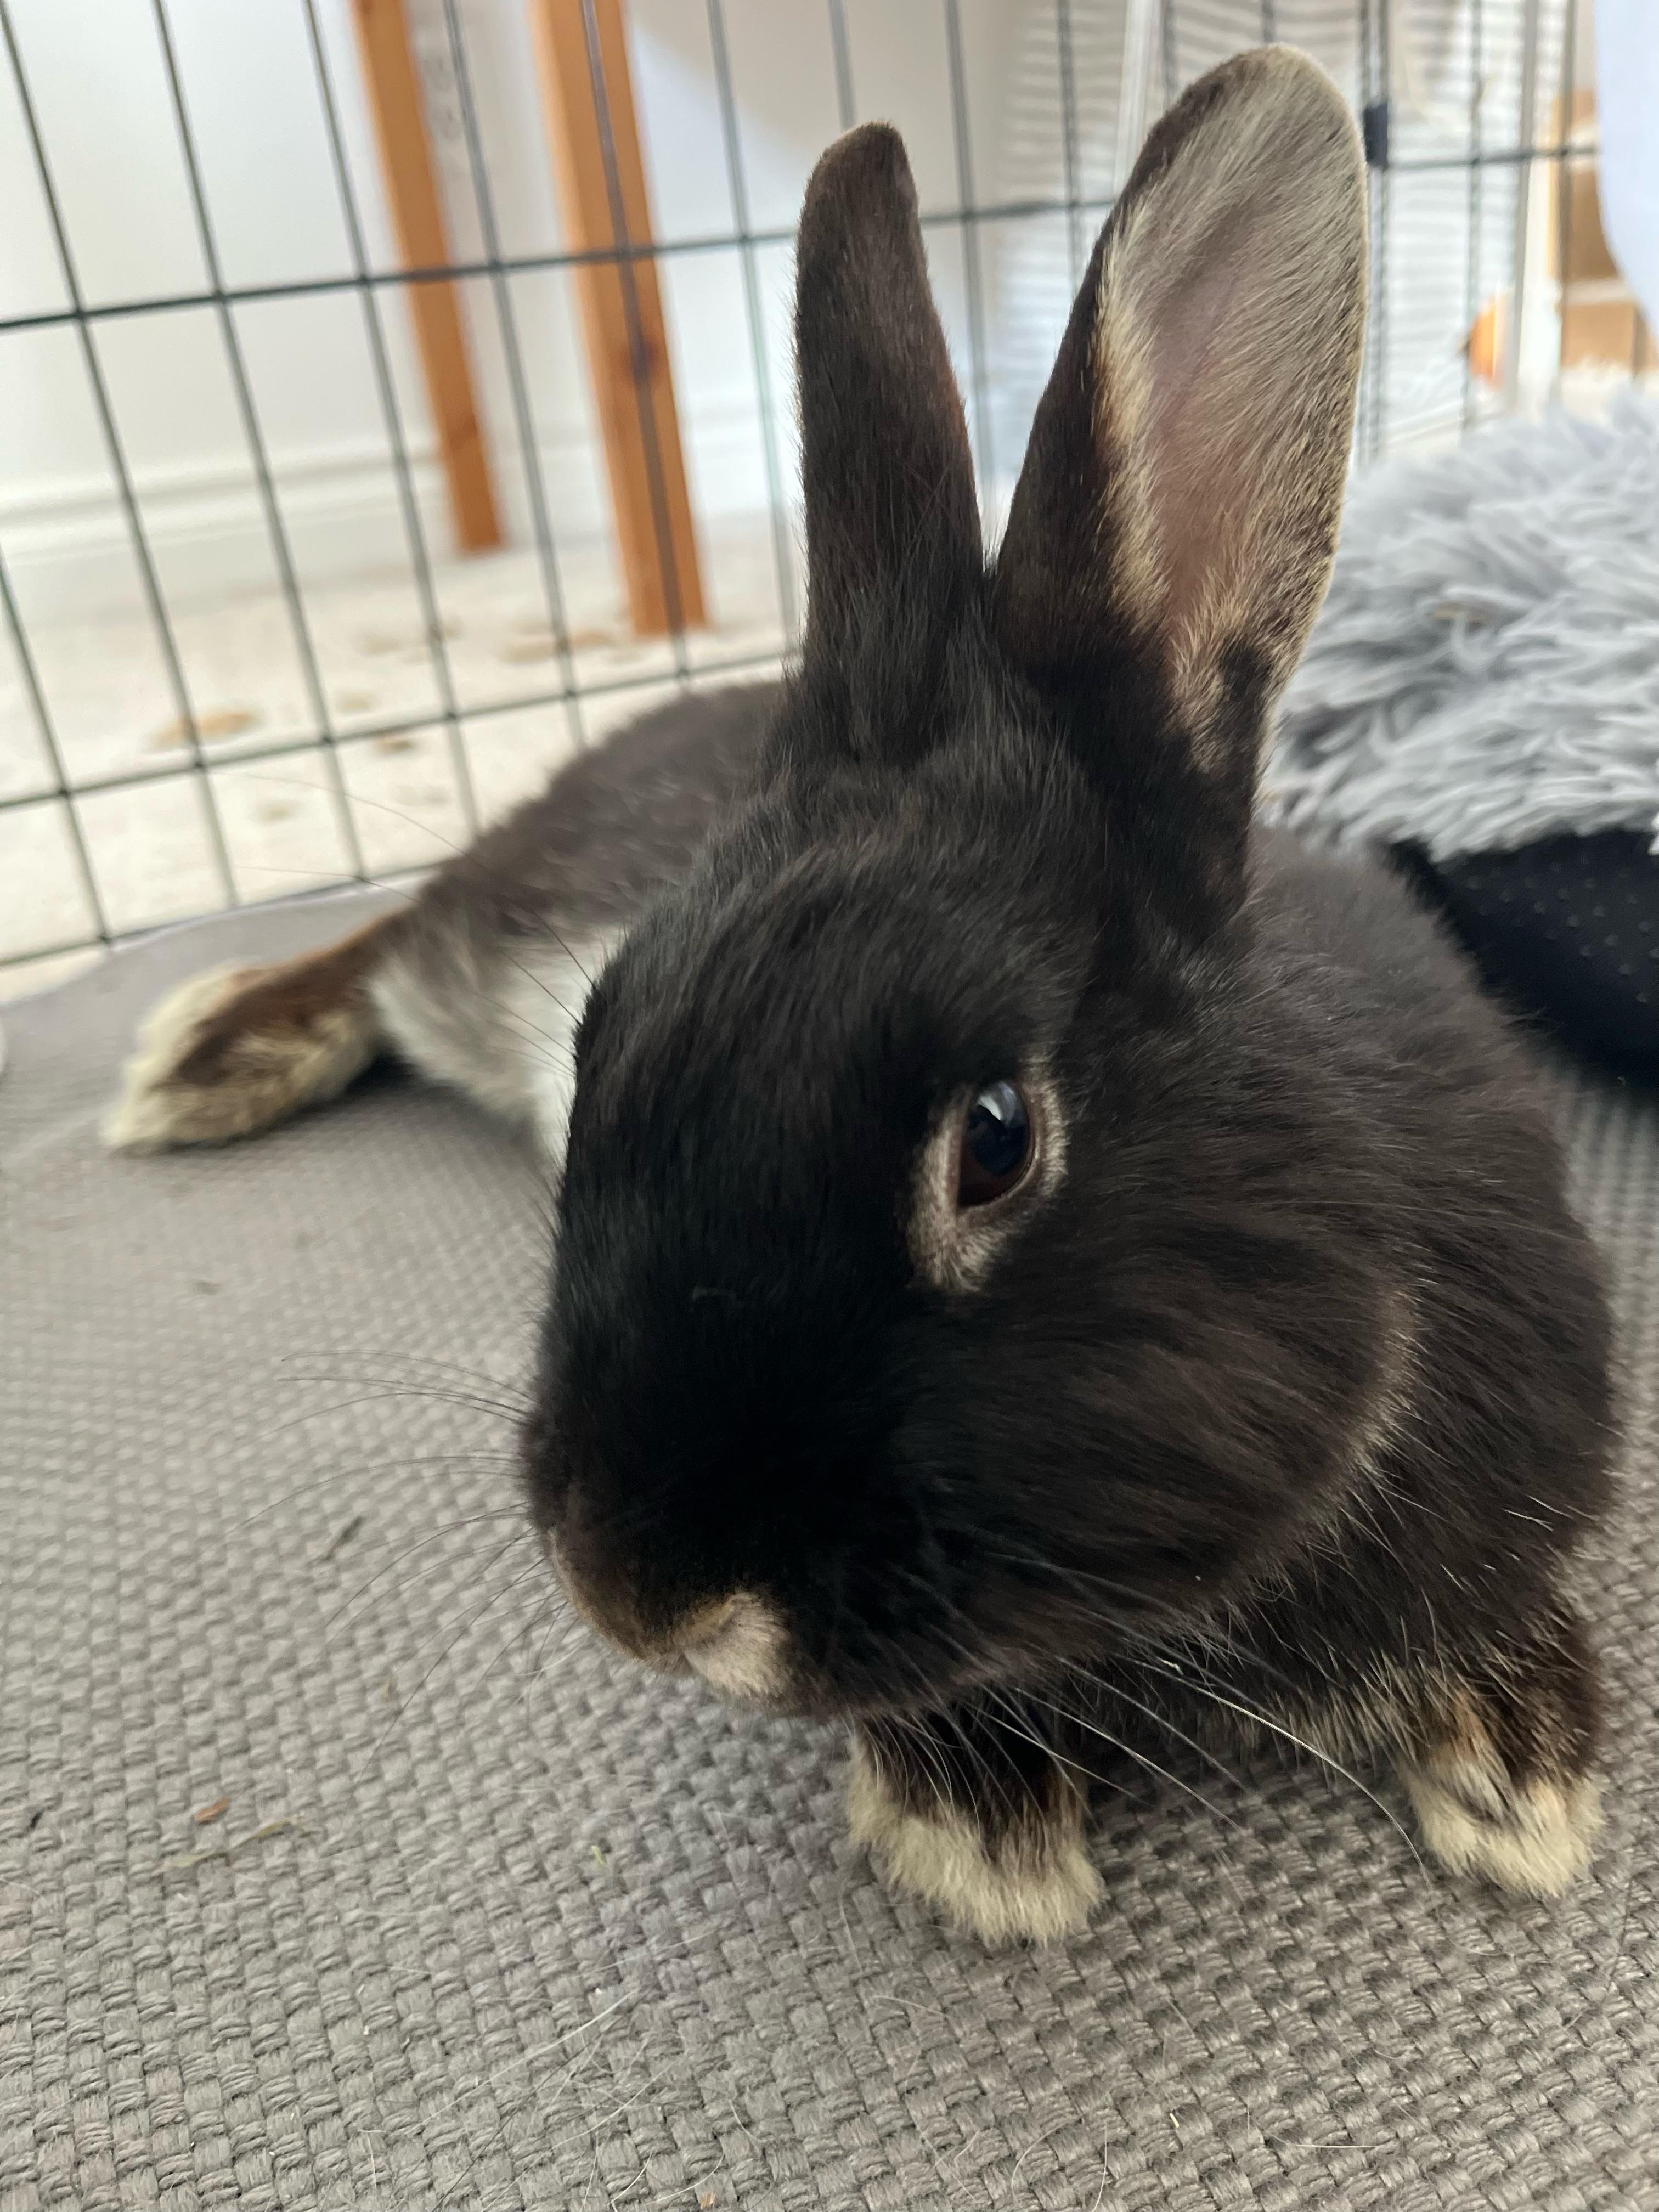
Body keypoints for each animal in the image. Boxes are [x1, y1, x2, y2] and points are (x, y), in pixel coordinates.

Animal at [107, 47, 1614, 1946]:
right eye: (599, 1048)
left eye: (996, 1142)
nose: (633, 1595)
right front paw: (979, 1826)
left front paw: (1523, 1764)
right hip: (490, 929)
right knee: (385, 940)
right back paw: (209, 1050)